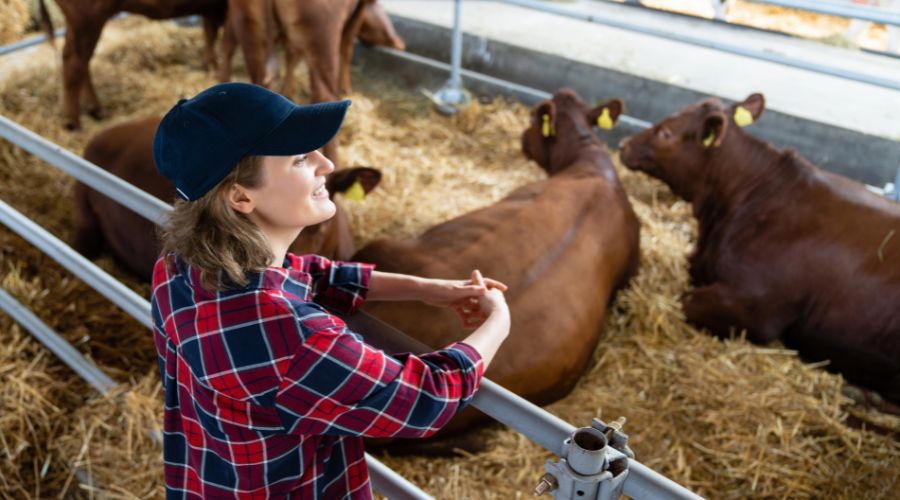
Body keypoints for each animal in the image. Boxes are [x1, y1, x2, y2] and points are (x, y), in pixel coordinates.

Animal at [40, 0, 227, 129]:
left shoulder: (212, 9)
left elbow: (209, 35)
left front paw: (209, 68)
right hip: (86, 16)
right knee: (73, 59)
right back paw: (72, 122)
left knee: (83, 58)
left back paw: (95, 110)